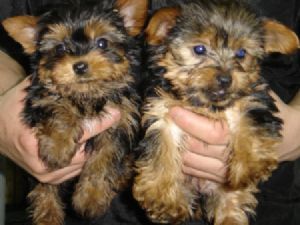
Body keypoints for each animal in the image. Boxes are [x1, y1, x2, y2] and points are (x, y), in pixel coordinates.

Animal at [134, 0, 300, 225]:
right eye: (199, 49)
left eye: (241, 53)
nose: (225, 78)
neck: (206, 105)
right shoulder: (161, 111)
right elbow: (161, 148)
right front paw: (161, 197)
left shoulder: (253, 99)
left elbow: (250, 122)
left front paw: (250, 165)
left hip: (229, 193)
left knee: (231, 205)